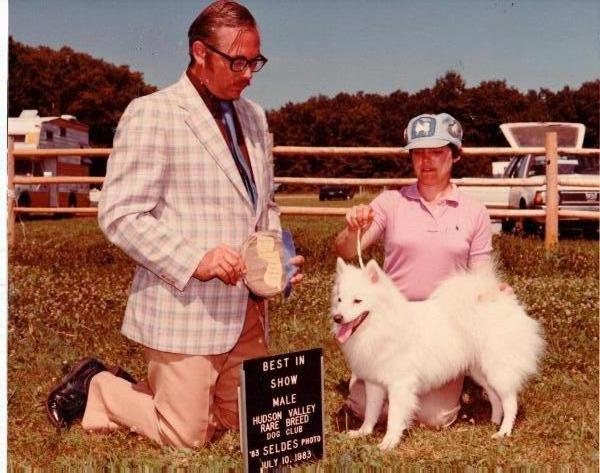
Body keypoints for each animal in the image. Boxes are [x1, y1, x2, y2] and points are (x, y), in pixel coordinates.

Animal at [332, 258, 544, 450]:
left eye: (358, 300)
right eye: (339, 300)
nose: (337, 317)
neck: (382, 326)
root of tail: (499, 300)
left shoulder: (400, 385)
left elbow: (393, 416)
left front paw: (389, 442)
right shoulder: (374, 383)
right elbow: (371, 411)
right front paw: (363, 432)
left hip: (497, 369)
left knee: (510, 401)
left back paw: (504, 431)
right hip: (480, 371)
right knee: (495, 396)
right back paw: (494, 420)